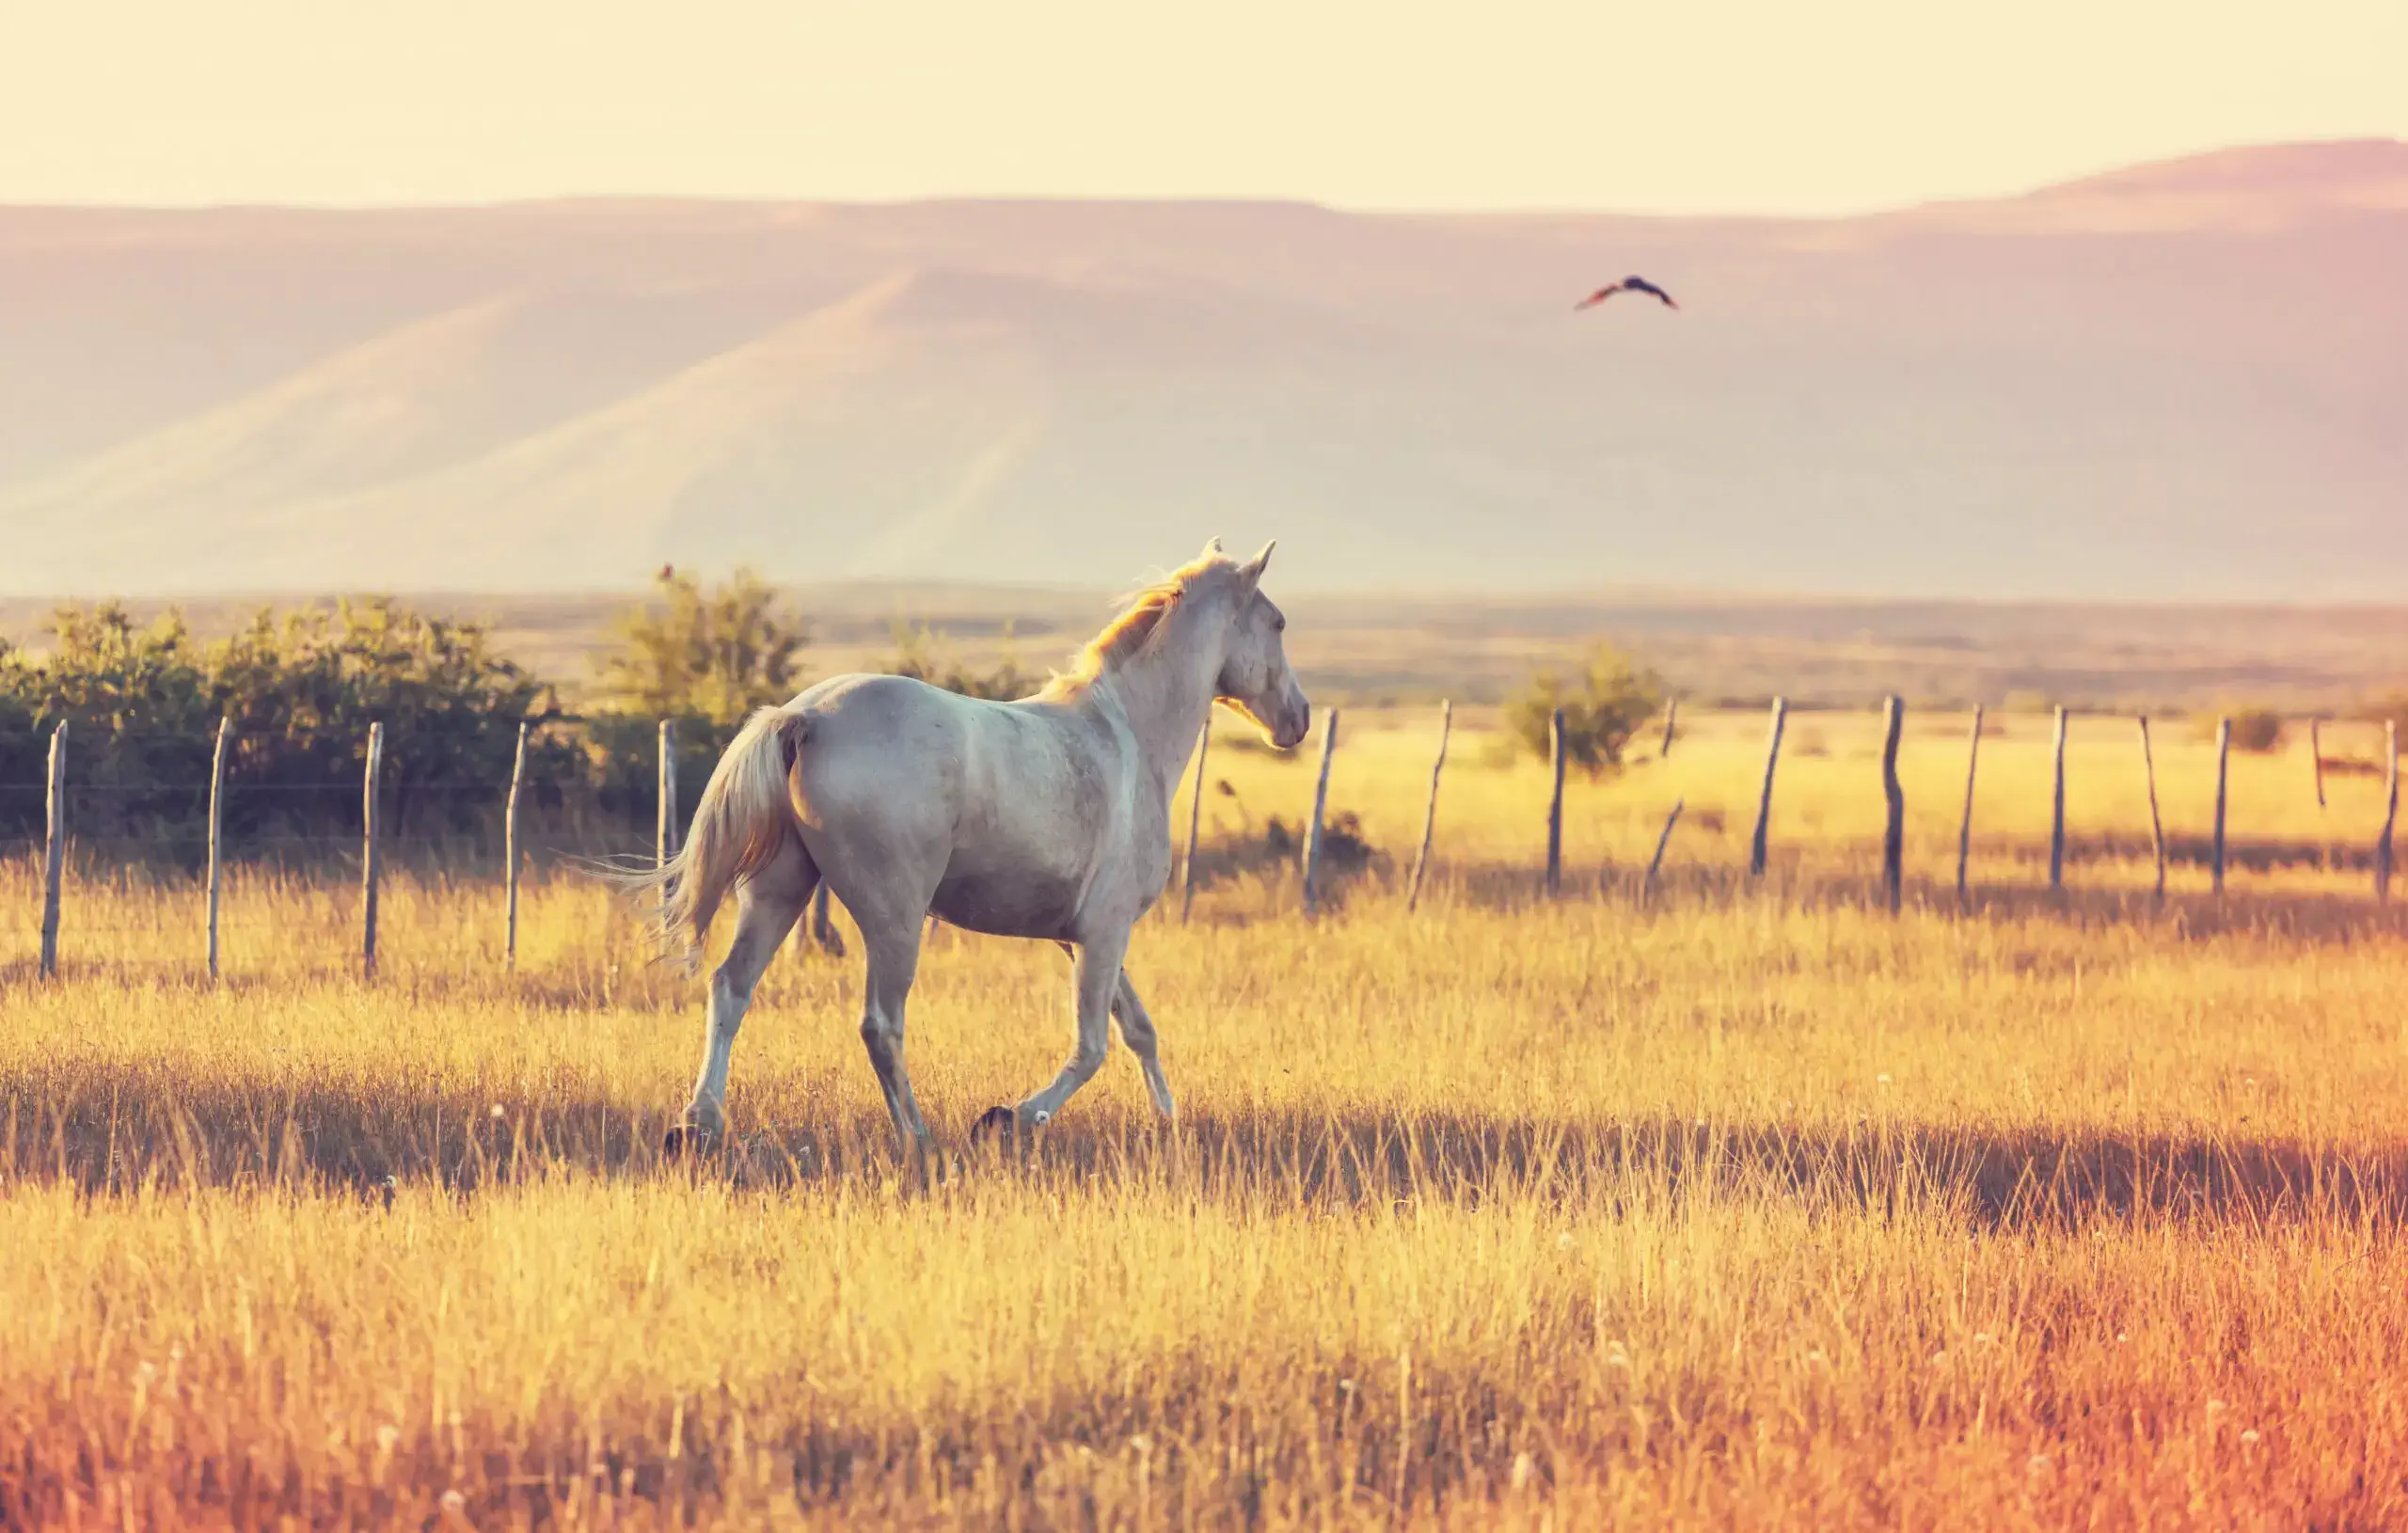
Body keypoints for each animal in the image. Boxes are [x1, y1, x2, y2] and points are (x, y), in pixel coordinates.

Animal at [624, 538, 1310, 1155]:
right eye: (1277, 621)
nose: (1298, 720)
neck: (1128, 740)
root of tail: (808, 718)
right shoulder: (1106, 930)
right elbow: (1091, 1047)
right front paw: (1007, 1119)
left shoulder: (1080, 937)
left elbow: (1139, 1030)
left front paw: (1169, 1121)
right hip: (894, 918)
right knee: (881, 1025)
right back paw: (918, 1137)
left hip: (780, 891)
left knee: (731, 988)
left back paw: (698, 1126)